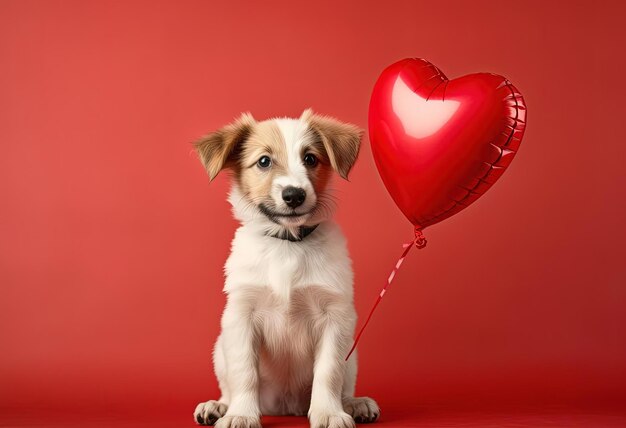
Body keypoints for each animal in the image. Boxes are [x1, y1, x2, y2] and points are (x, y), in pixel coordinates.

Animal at [193, 109, 378, 428]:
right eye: (264, 161)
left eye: (311, 159)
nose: (294, 195)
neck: (288, 244)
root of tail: (286, 406)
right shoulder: (241, 315)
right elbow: (244, 371)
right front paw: (241, 413)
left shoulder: (336, 316)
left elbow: (328, 372)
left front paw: (328, 412)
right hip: (219, 349)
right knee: (229, 385)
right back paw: (219, 405)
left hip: (351, 355)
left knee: (344, 384)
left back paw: (354, 403)